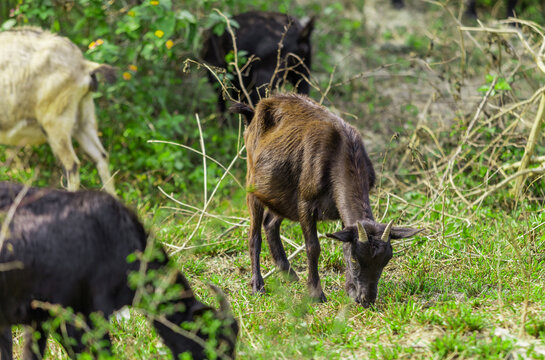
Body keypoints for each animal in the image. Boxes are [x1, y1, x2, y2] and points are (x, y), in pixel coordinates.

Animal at [230, 93, 420, 306]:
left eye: (386, 261)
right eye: (356, 259)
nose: (366, 299)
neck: (341, 154)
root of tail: (254, 113)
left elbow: (344, 240)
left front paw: (349, 291)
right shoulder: (305, 202)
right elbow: (313, 247)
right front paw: (316, 294)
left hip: (280, 194)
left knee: (270, 223)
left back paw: (289, 274)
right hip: (252, 184)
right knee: (254, 235)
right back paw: (258, 285)